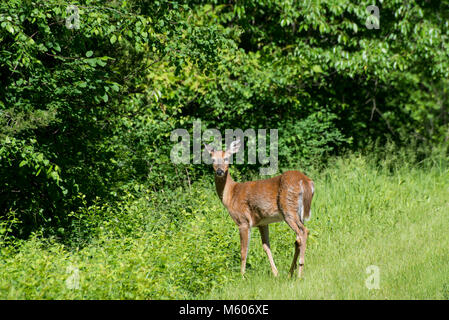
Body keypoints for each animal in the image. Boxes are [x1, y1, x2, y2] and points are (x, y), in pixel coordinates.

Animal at [205, 139, 314, 278]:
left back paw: (299, 273)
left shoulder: (243, 221)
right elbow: (266, 246)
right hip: (299, 214)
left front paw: (242, 276)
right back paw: (290, 272)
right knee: (298, 239)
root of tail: (305, 181)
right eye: (212, 159)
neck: (231, 194)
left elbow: (243, 251)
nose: (219, 171)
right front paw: (275, 273)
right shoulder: (262, 222)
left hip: (288, 210)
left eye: (227, 158)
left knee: (303, 232)